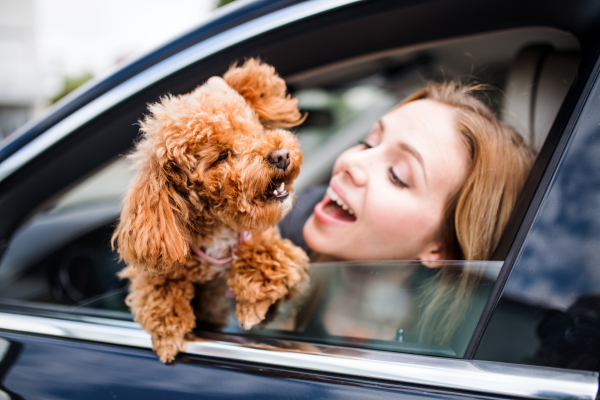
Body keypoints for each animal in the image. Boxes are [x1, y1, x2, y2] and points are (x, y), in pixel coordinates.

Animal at [112, 58, 310, 362]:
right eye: (221, 156)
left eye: (254, 132)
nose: (281, 156)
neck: (217, 228)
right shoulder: (156, 262)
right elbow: (159, 289)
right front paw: (168, 334)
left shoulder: (269, 242)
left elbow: (263, 255)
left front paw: (251, 308)